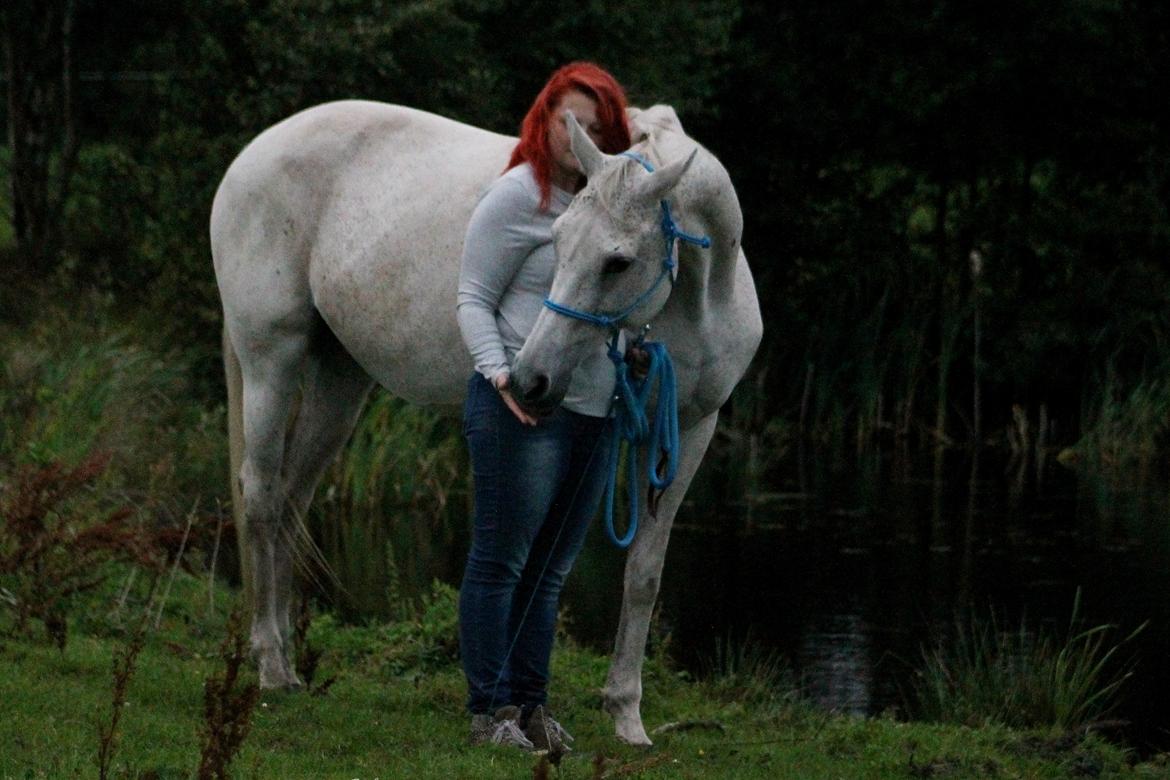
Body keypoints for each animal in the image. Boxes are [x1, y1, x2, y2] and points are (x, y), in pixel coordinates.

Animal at [210, 100, 762, 748]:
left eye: (618, 260)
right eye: (556, 239)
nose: (529, 379)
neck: (703, 294)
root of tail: (253, 155)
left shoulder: (689, 428)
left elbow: (643, 574)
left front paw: (626, 715)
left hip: (338, 381)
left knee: (292, 500)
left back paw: (290, 668)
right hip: (270, 360)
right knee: (262, 498)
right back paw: (271, 664)